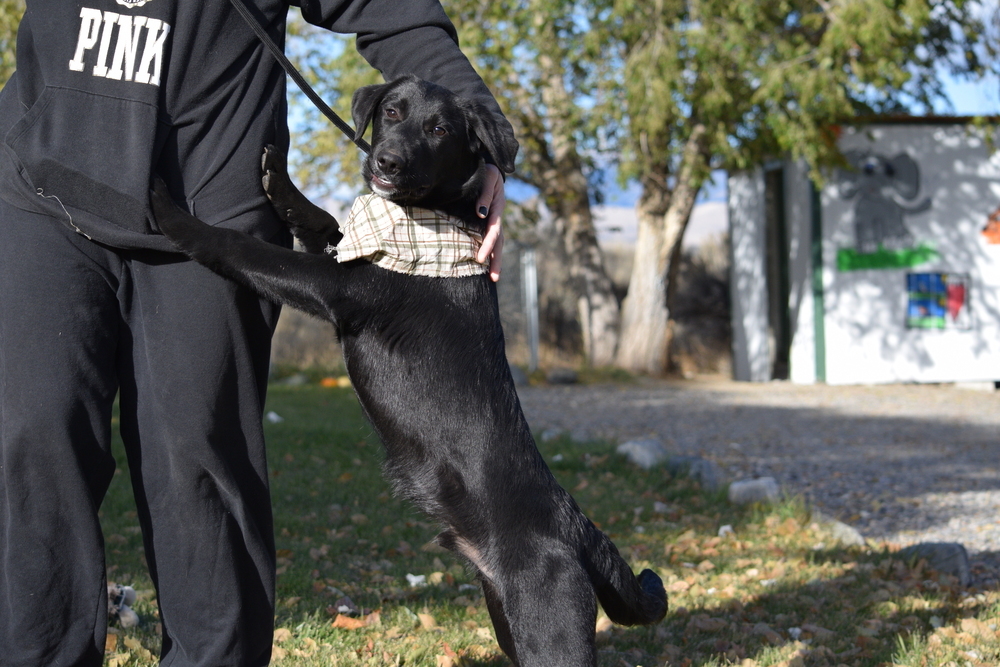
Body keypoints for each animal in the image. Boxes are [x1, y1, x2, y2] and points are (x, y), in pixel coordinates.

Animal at [152, 74, 664, 667]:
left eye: (440, 130)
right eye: (391, 113)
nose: (387, 161)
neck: (429, 217)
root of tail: (575, 526)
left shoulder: (336, 287)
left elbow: (241, 246)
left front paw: (167, 211)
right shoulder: (341, 256)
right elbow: (322, 219)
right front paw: (279, 180)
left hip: (548, 625)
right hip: (506, 615)